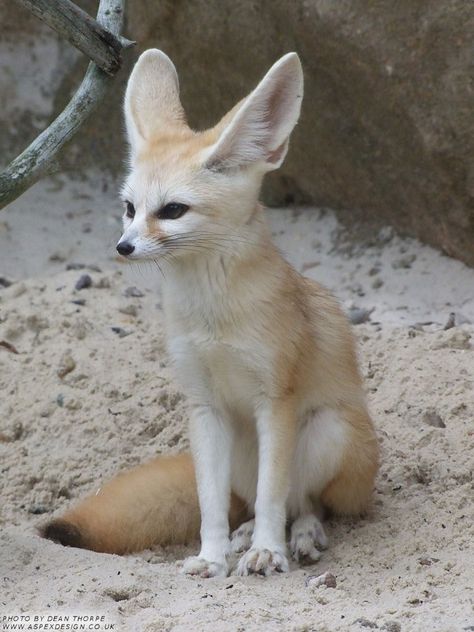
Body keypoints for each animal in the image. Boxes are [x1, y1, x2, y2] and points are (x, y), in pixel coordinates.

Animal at [43, 49, 378, 576]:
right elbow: (210, 501)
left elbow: (273, 495)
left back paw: (298, 536)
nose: (123, 247)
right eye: (130, 208)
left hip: (327, 430)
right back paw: (246, 536)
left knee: (305, 502)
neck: (213, 321)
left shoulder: (275, 401)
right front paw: (211, 556)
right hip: (243, 447)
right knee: (254, 500)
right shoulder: (204, 405)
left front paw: (267, 550)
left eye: (173, 210)